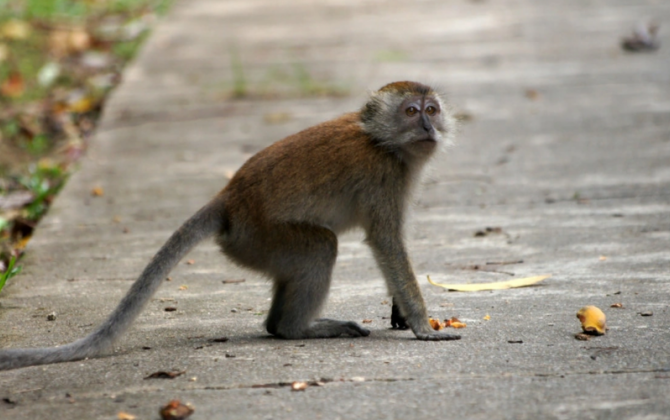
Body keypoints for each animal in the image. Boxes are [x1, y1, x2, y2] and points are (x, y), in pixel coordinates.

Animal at [0, 80, 460, 370]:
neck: (383, 142)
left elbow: (389, 245)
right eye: (411, 111)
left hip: (256, 246)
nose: (428, 126)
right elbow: (385, 241)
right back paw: (296, 329)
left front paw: (401, 314)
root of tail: (230, 197)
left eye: (432, 110)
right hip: (259, 237)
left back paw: (279, 326)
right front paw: (423, 326)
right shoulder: (385, 176)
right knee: (320, 246)